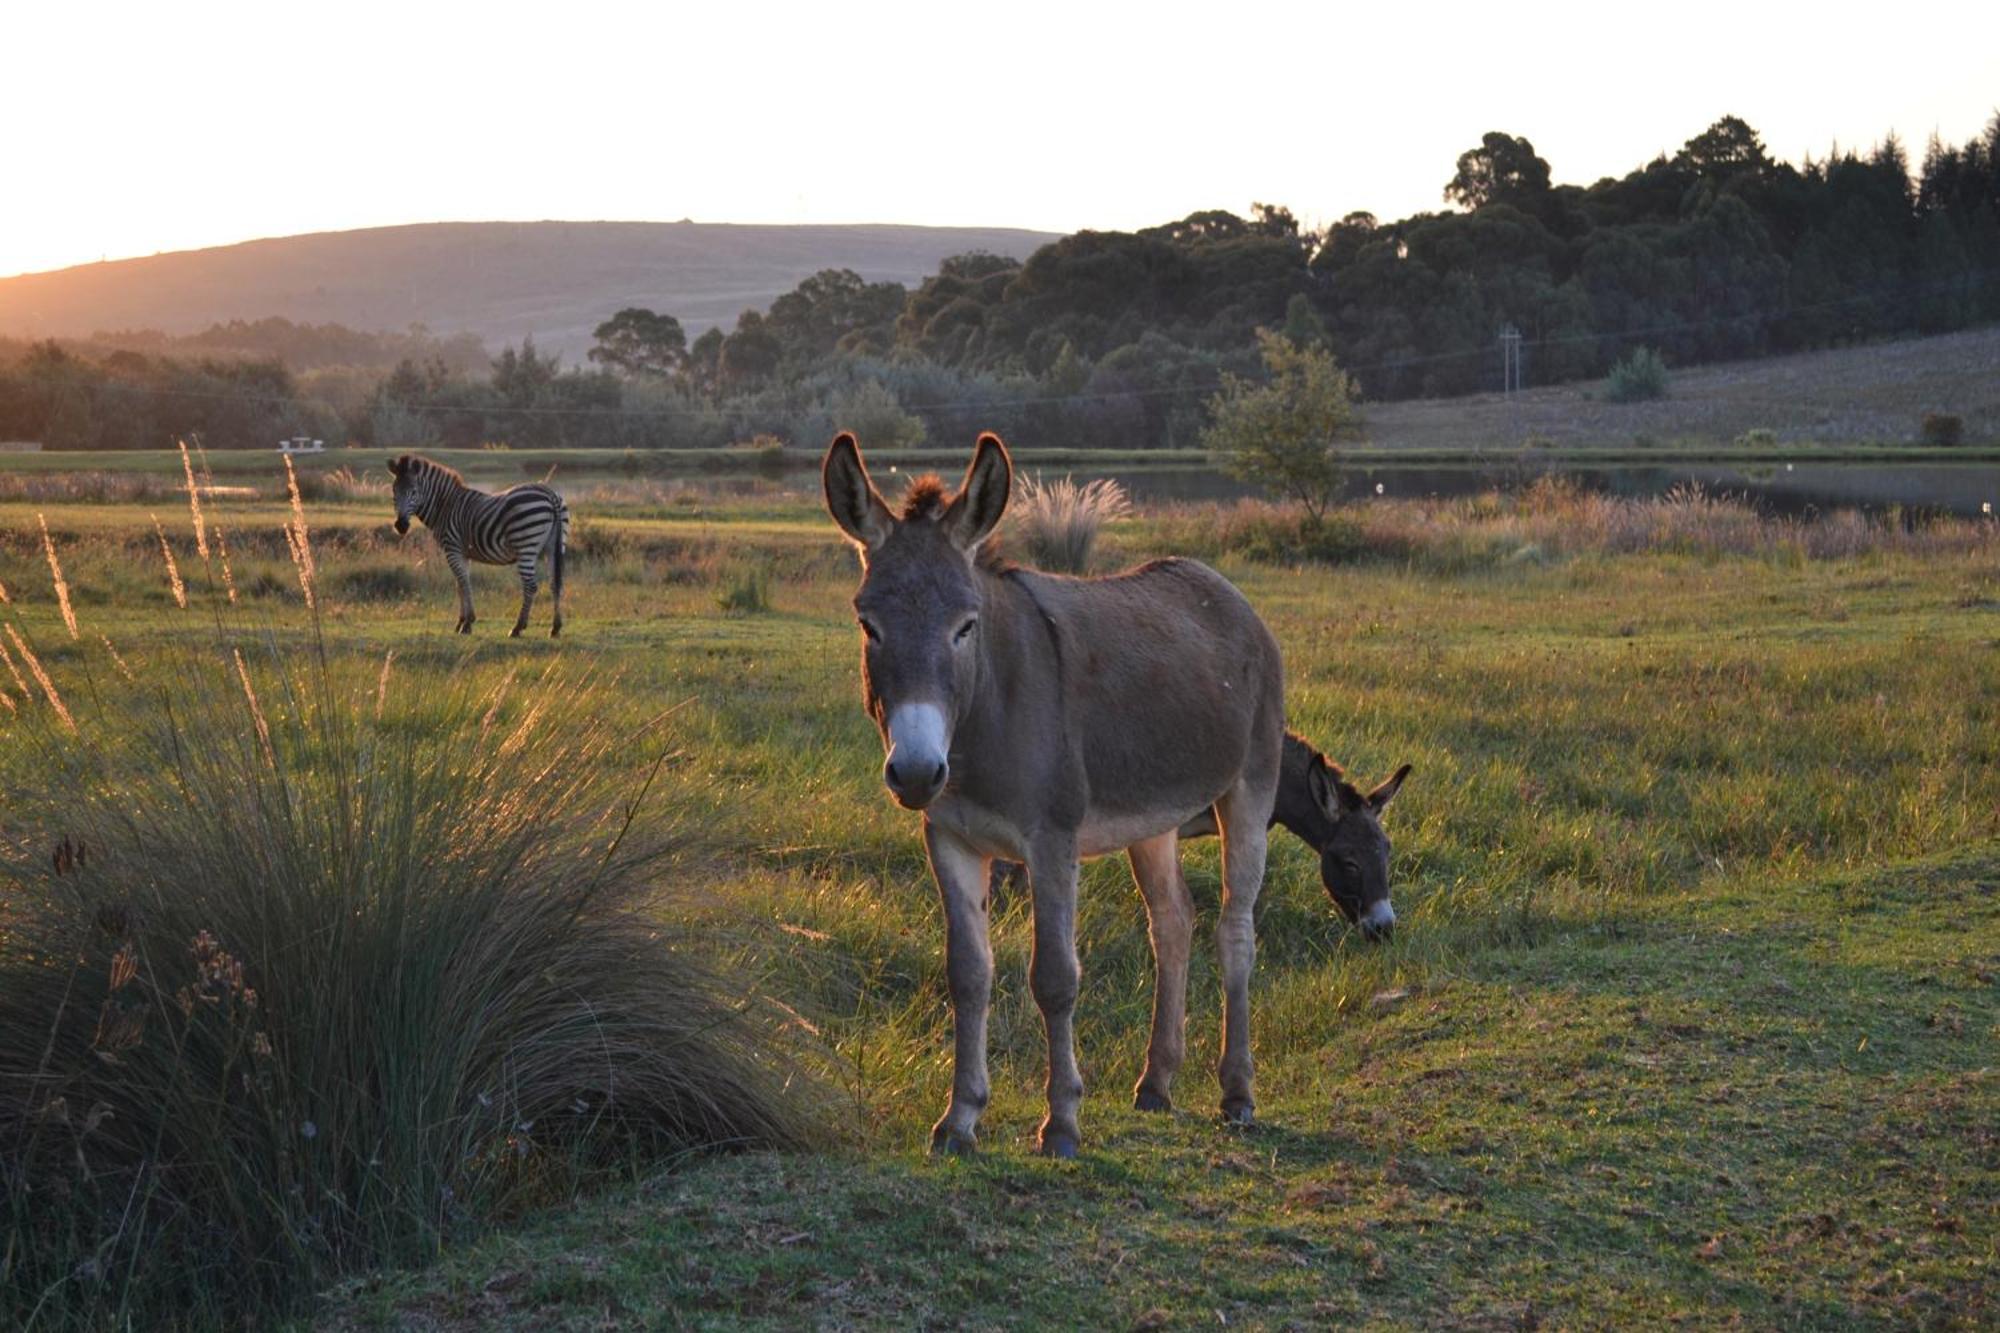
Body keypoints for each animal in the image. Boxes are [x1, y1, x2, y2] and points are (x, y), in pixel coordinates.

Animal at [386, 454, 568, 636]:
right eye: (394, 491)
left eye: (414, 492)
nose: (400, 526)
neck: (445, 506)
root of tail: (550, 494)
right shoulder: (463, 553)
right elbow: (460, 585)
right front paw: (461, 622)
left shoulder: (452, 549)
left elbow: (463, 583)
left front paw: (467, 623)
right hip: (554, 548)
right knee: (555, 584)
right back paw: (555, 627)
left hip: (526, 546)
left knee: (531, 586)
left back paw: (517, 627)